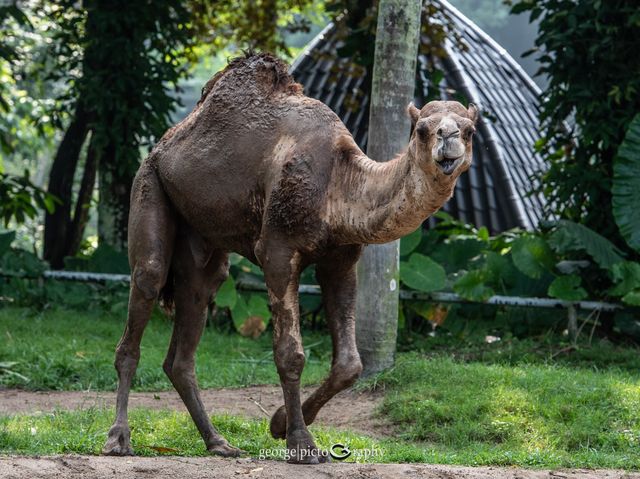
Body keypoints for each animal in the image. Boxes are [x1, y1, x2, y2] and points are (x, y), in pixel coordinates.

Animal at [104, 52, 476, 464]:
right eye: (422, 129)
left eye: (470, 130)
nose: (448, 141)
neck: (338, 183)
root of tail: (162, 145)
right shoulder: (277, 253)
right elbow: (290, 354)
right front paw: (301, 442)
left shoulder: (341, 260)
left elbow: (351, 364)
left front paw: (279, 423)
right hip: (149, 185)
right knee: (144, 292)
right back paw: (118, 439)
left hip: (202, 242)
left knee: (188, 333)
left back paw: (218, 442)